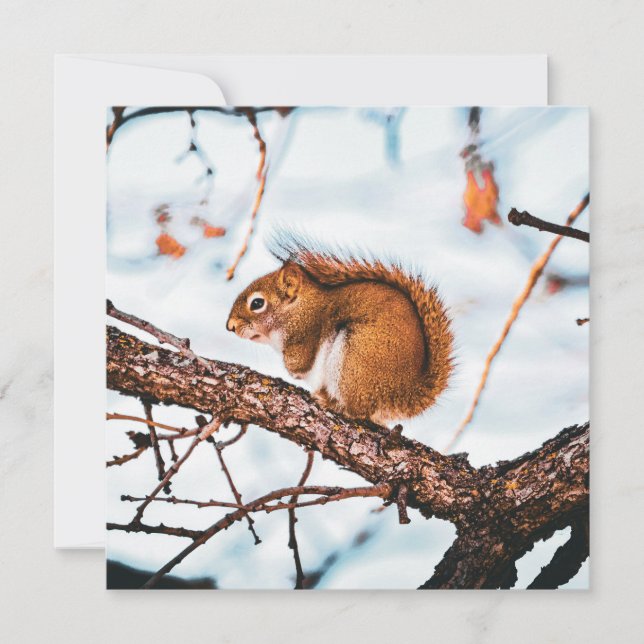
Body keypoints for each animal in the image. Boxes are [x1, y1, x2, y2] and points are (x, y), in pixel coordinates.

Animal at [226, 234, 454, 425]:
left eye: (257, 303)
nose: (230, 326)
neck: (299, 309)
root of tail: (403, 394)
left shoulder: (306, 333)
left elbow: (299, 364)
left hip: (354, 359)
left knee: (357, 411)